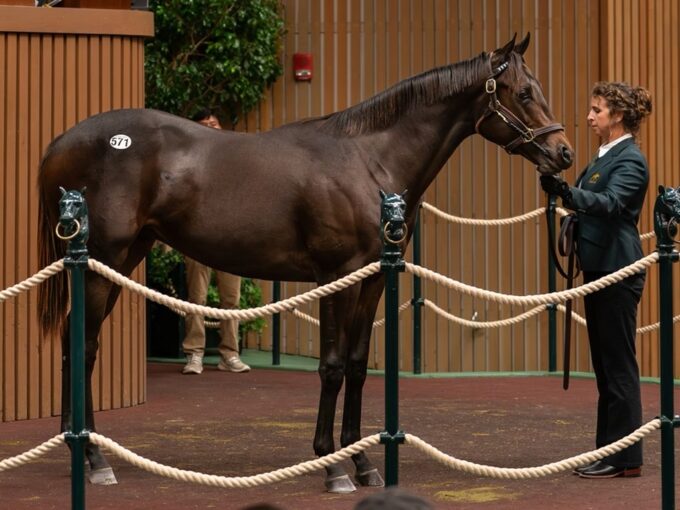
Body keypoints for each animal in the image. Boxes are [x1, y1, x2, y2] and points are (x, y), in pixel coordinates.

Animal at [35, 32, 568, 494]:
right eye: (524, 93)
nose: (562, 152)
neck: (368, 161)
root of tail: (61, 141)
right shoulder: (336, 277)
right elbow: (331, 366)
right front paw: (331, 466)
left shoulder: (372, 280)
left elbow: (357, 365)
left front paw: (362, 461)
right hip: (103, 259)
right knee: (84, 343)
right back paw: (93, 459)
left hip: (120, 261)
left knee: (75, 339)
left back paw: (78, 447)